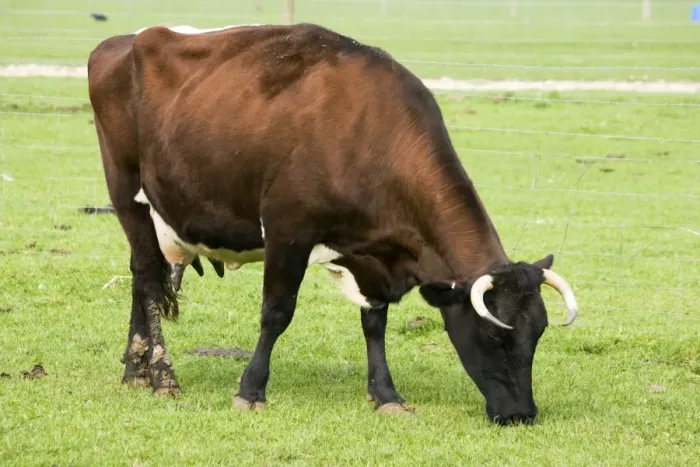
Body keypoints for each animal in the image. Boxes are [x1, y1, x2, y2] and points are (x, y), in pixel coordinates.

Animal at [87, 22, 578, 426]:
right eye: (493, 336)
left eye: (538, 334)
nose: (521, 414)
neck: (369, 130)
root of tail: (124, 42)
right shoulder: (287, 231)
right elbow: (276, 313)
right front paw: (251, 390)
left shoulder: (373, 253)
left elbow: (374, 323)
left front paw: (386, 395)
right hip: (127, 194)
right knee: (148, 278)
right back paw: (162, 376)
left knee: (142, 277)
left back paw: (135, 370)